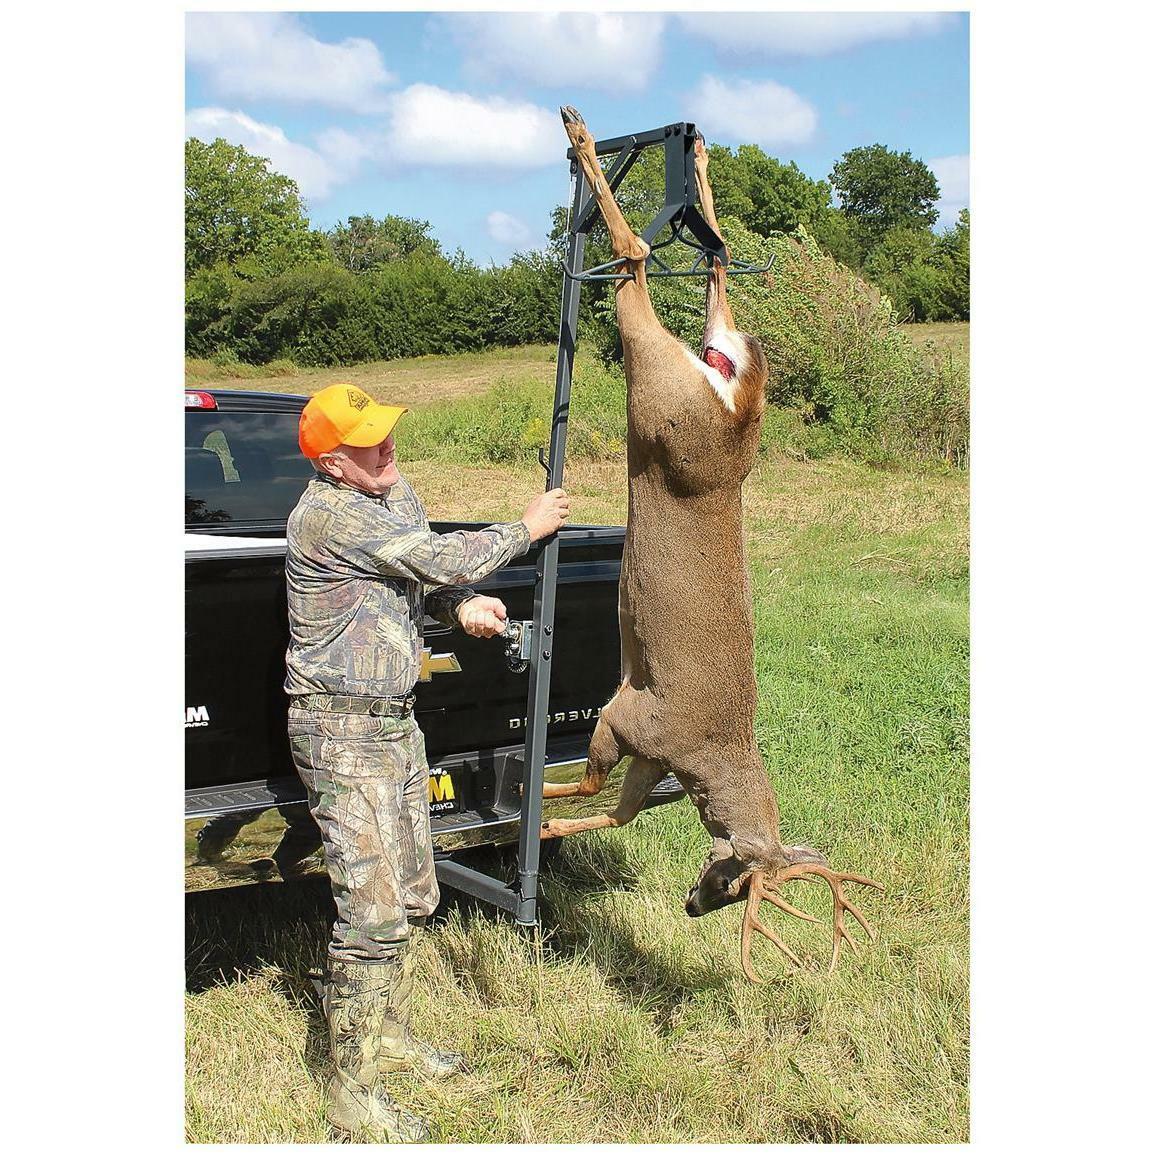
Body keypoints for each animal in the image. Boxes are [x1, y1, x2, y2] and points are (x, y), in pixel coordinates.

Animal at [539, 107, 881, 982]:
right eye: (738, 878)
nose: (694, 904)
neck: (707, 758)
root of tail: (737, 404)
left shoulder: (644, 746)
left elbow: (614, 811)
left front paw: (545, 824)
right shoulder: (630, 717)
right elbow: (590, 784)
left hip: (680, 392)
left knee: (714, 268)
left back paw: (680, 150)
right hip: (662, 395)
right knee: (640, 262)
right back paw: (588, 138)